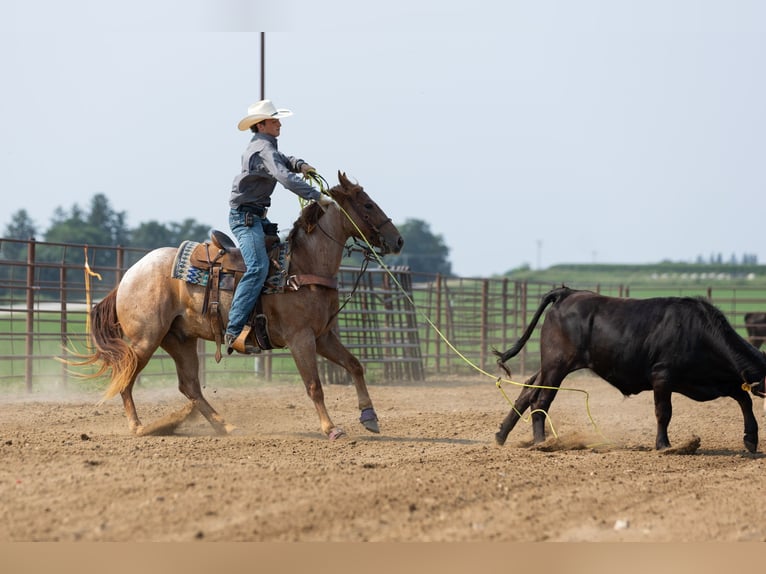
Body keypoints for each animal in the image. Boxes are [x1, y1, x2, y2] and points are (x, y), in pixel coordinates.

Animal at [76, 171, 403, 439]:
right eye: (368, 205)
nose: (397, 240)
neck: (302, 267)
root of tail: (129, 274)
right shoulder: (301, 339)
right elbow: (314, 385)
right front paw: (331, 428)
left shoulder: (323, 337)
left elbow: (355, 365)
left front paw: (369, 417)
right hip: (146, 339)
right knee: (126, 377)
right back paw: (138, 427)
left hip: (180, 339)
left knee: (189, 386)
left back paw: (226, 426)